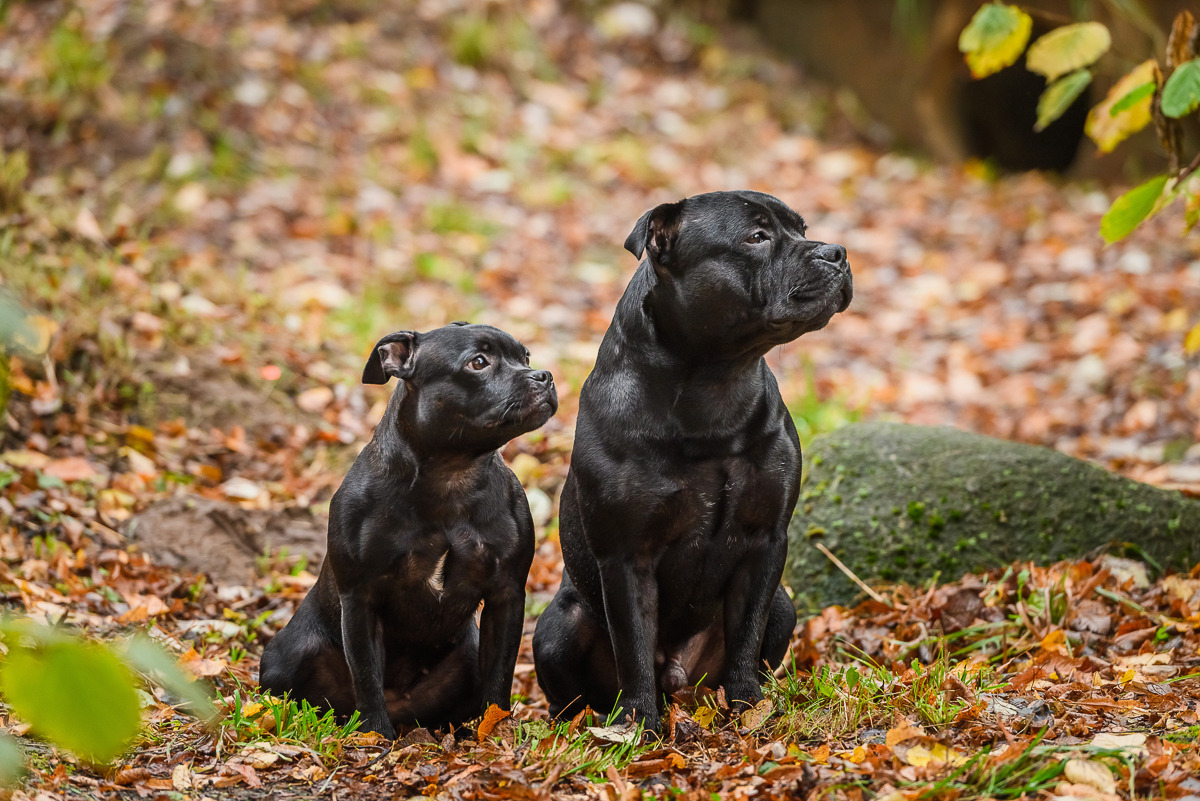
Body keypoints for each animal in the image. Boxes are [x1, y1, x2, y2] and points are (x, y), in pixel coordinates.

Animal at [259, 321, 556, 733]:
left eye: (525, 357)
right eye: (479, 362)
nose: (543, 375)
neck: (452, 476)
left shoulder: (506, 595)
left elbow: (499, 674)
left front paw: (494, 730)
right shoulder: (360, 598)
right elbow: (366, 675)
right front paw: (374, 734)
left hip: (467, 655)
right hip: (291, 653)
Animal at [535, 189, 854, 733]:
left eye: (802, 229)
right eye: (756, 236)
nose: (837, 252)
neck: (716, 383)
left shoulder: (764, 541)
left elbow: (746, 635)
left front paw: (748, 708)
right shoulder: (626, 558)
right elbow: (634, 647)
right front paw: (641, 725)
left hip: (785, 608)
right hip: (556, 629)